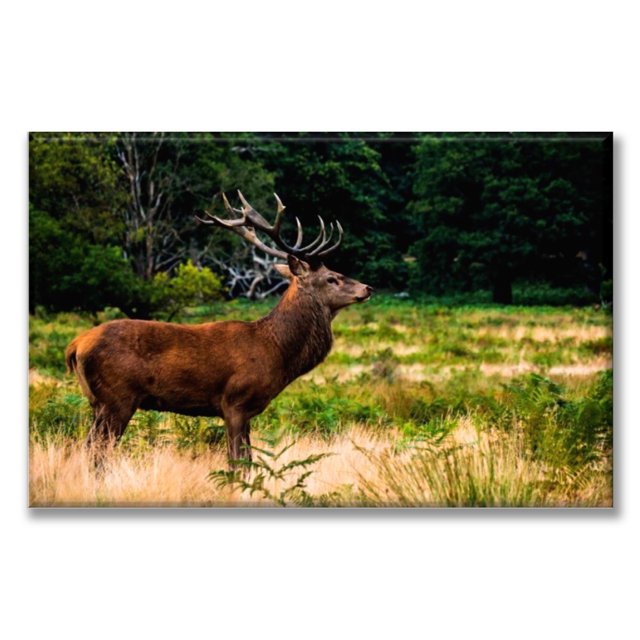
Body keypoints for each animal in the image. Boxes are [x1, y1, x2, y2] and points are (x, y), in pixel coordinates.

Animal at [65, 191, 373, 466]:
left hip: (98, 402)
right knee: (97, 452)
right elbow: (238, 462)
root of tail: (75, 345)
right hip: (117, 398)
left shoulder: (246, 410)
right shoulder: (235, 402)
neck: (275, 351)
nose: (367, 287)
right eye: (332, 277)